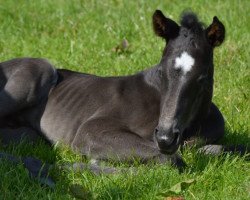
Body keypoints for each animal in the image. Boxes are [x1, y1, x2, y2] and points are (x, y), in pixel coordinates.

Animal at [0, 10, 242, 183]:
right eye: (161, 71)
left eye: (202, 77)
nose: (165, 137)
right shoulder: (90, 130)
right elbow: (171, 159)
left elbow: (221, 149)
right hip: (41, 69)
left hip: (28, 135)